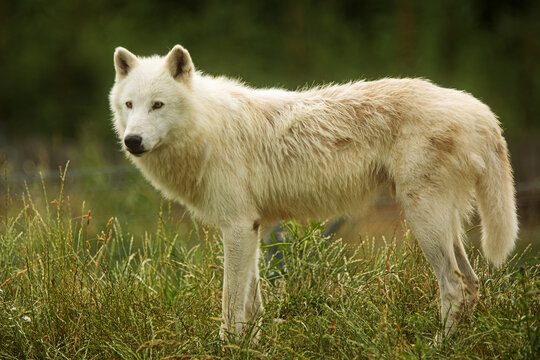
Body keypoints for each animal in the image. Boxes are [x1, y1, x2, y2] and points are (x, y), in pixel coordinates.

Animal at [107, 44, 516, 338]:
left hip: (423, 220)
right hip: (444, 223)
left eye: (158, 105)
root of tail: (481, 111)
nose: (132, 141)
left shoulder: (237, 226)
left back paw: (436, 347)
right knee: (473, 283)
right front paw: (255, 346)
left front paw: (229, 348)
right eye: (129, 105)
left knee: (455, 286)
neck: (207, 128)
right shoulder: (253, 228)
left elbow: (231, 305)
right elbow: (253, 305)